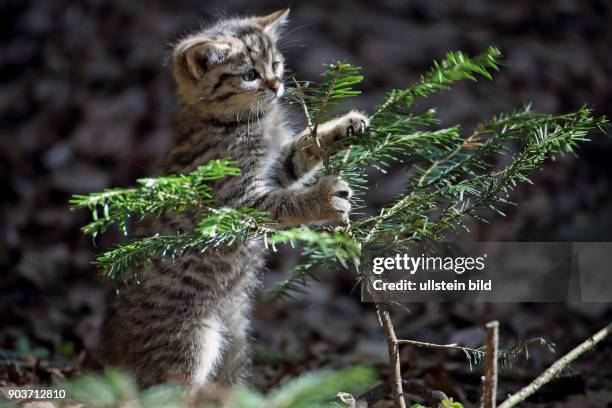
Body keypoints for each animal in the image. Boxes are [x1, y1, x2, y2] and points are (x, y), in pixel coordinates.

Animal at [102, 9, 368, 390]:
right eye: (249, 75)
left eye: (275, 64)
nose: (277, 85)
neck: (235, 123)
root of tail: (110, 353)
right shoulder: (237, 201)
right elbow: (285, 204)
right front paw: (324, 198)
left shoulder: (276, 169)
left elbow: (301, 150)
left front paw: (342, 128)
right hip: (191, 342)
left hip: (233, 333)